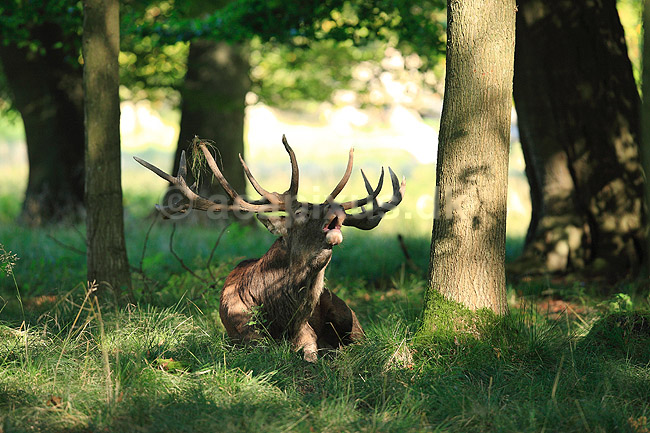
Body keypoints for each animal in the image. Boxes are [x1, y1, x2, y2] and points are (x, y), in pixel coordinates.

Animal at [134, 135, 405, 362]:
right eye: (300, 213)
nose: (337, 209)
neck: (283, 318)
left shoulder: (307, 334)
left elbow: (311, 353)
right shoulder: (244, 332)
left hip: (346, 312)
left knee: (361, 340)